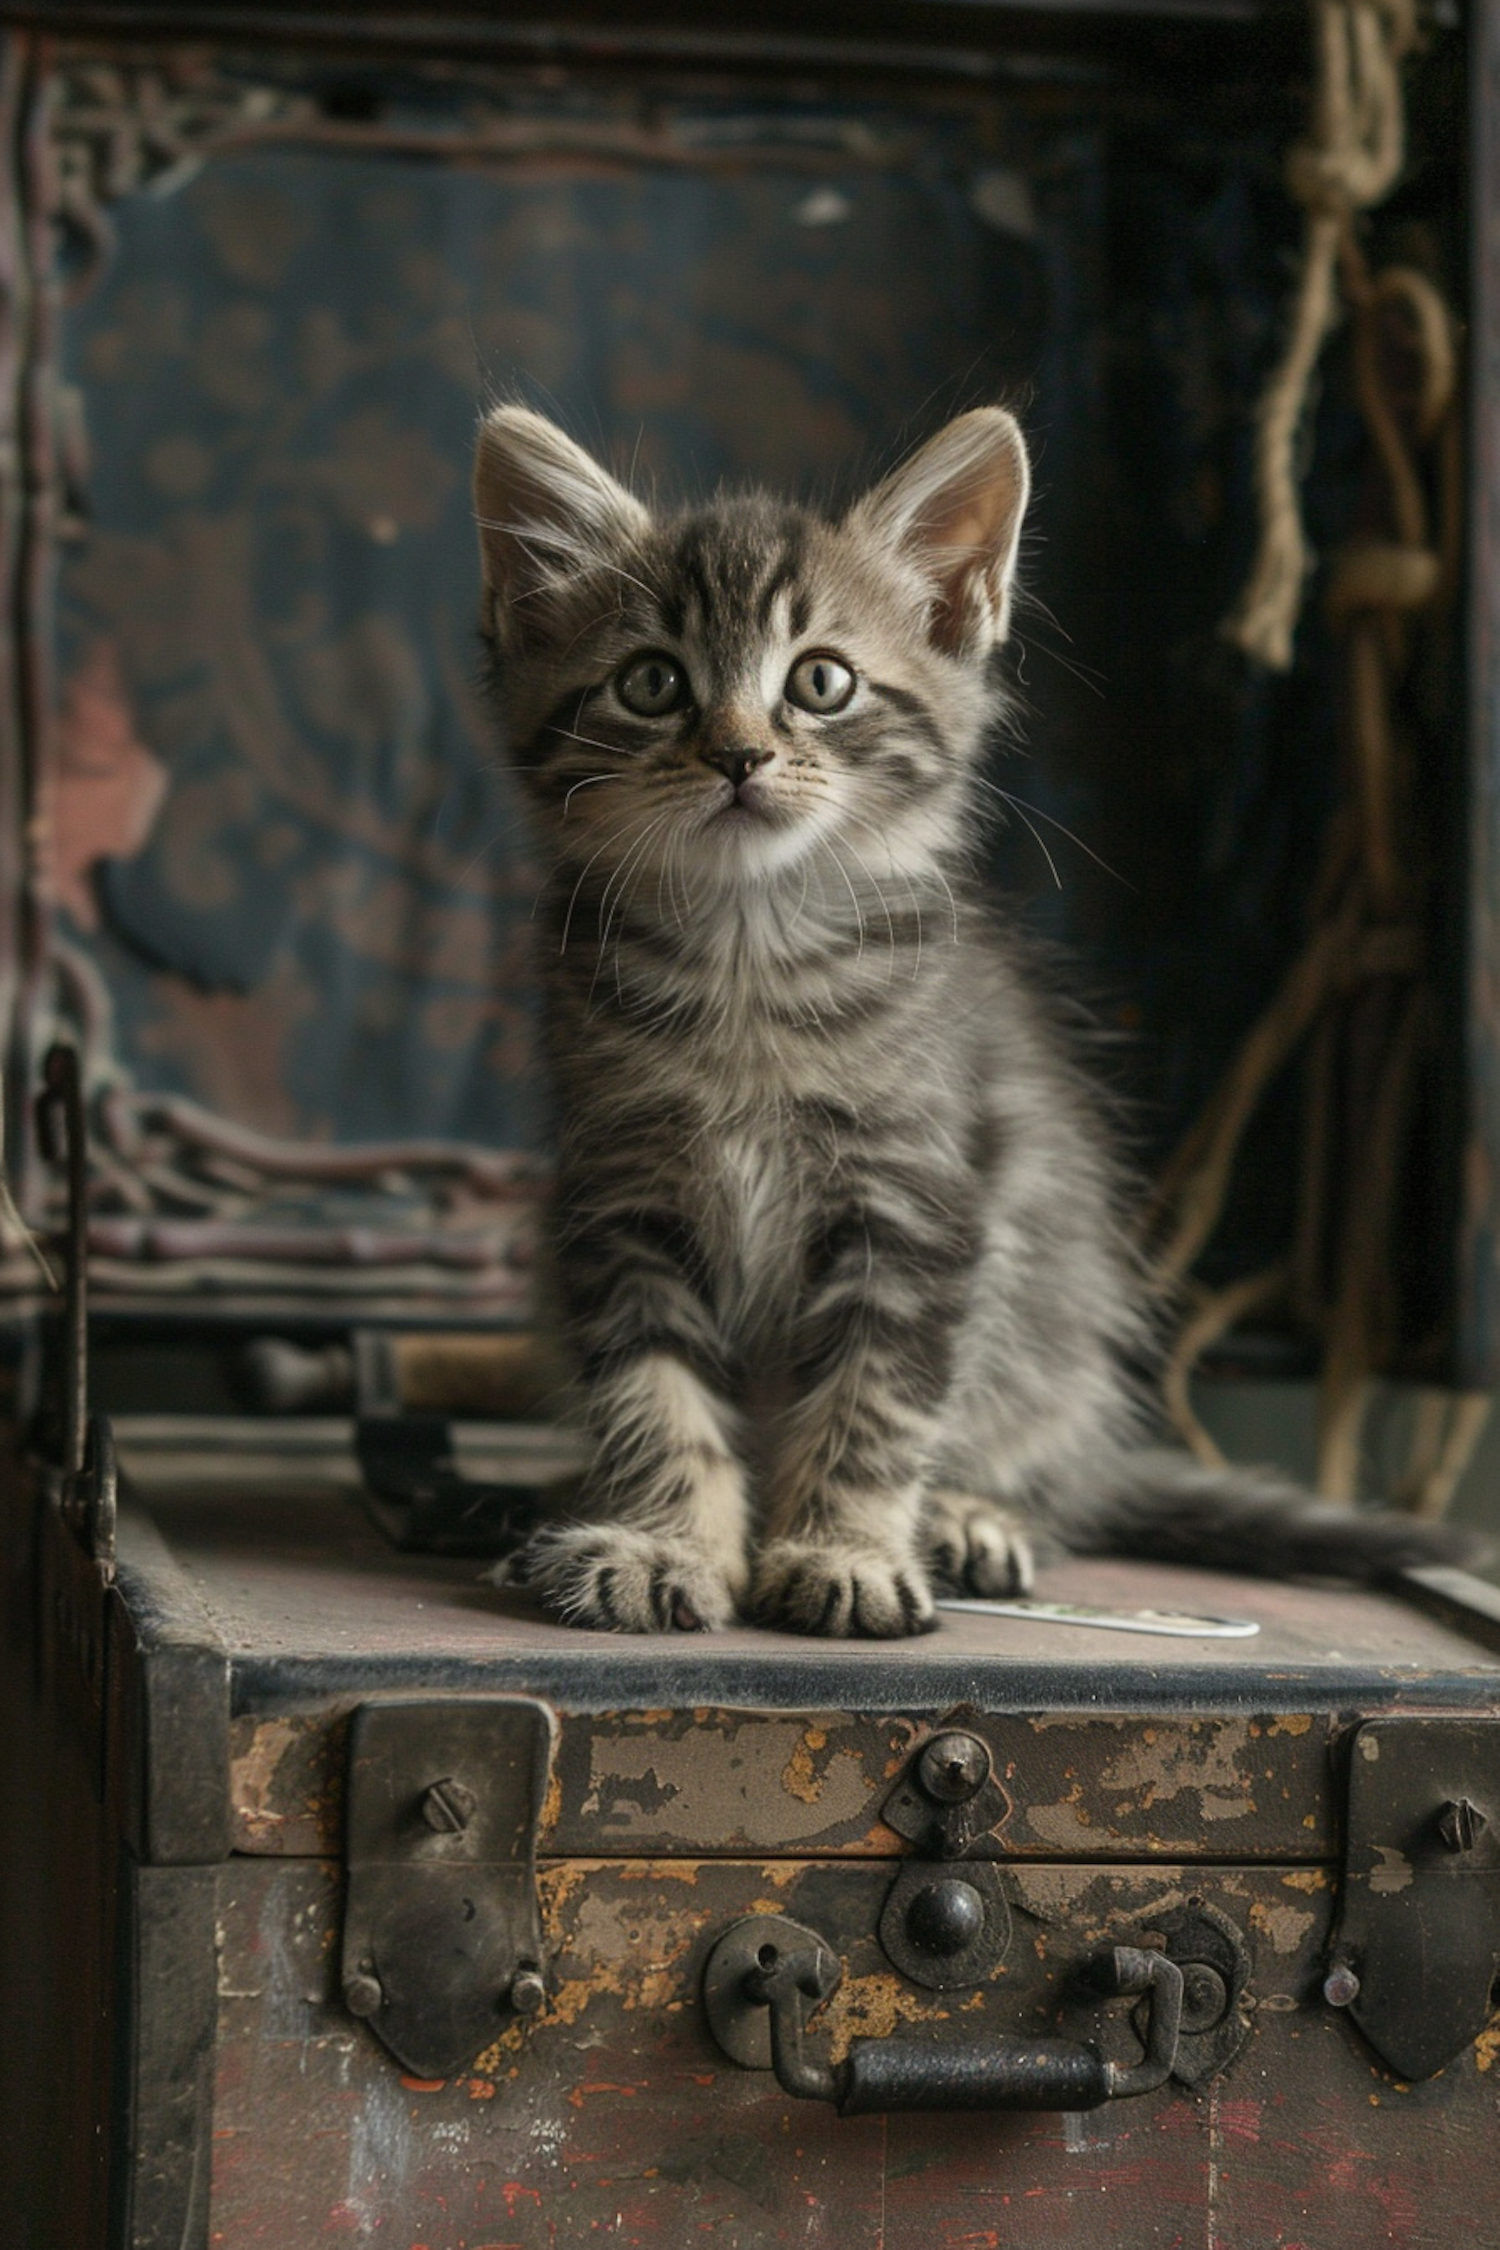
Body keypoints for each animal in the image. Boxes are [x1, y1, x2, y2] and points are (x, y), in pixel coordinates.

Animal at [479, 400, 1466, 1638]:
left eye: (821, 683)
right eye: (652, 683)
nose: (740, 755)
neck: (749, 960)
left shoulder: (919, 1209)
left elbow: (872, 1408)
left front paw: (846, 1550)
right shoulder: (621, 1206)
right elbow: (654, 1402)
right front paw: (664, 1543)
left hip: (1050, 1314)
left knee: (1029, 1463)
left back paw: (967, 1517)